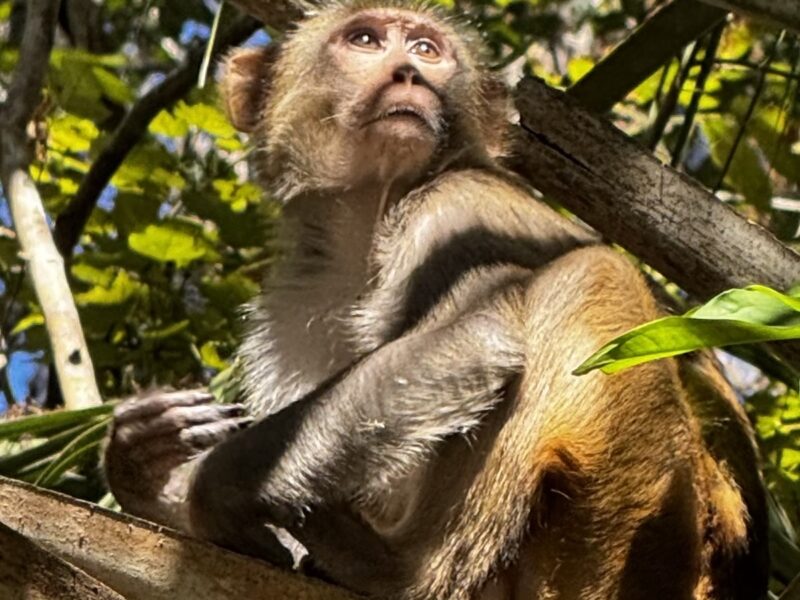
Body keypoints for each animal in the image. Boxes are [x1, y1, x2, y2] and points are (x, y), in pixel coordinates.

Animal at [104, 1, 769, 598]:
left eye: (426, 50)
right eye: (366, 39)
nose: (409, 73)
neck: (369, 218)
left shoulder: (456, 208)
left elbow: (478, 338)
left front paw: (209, 488)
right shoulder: (298, 293)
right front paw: (145, 468)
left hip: (654, 541)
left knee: (591, 275)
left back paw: (401, 572)